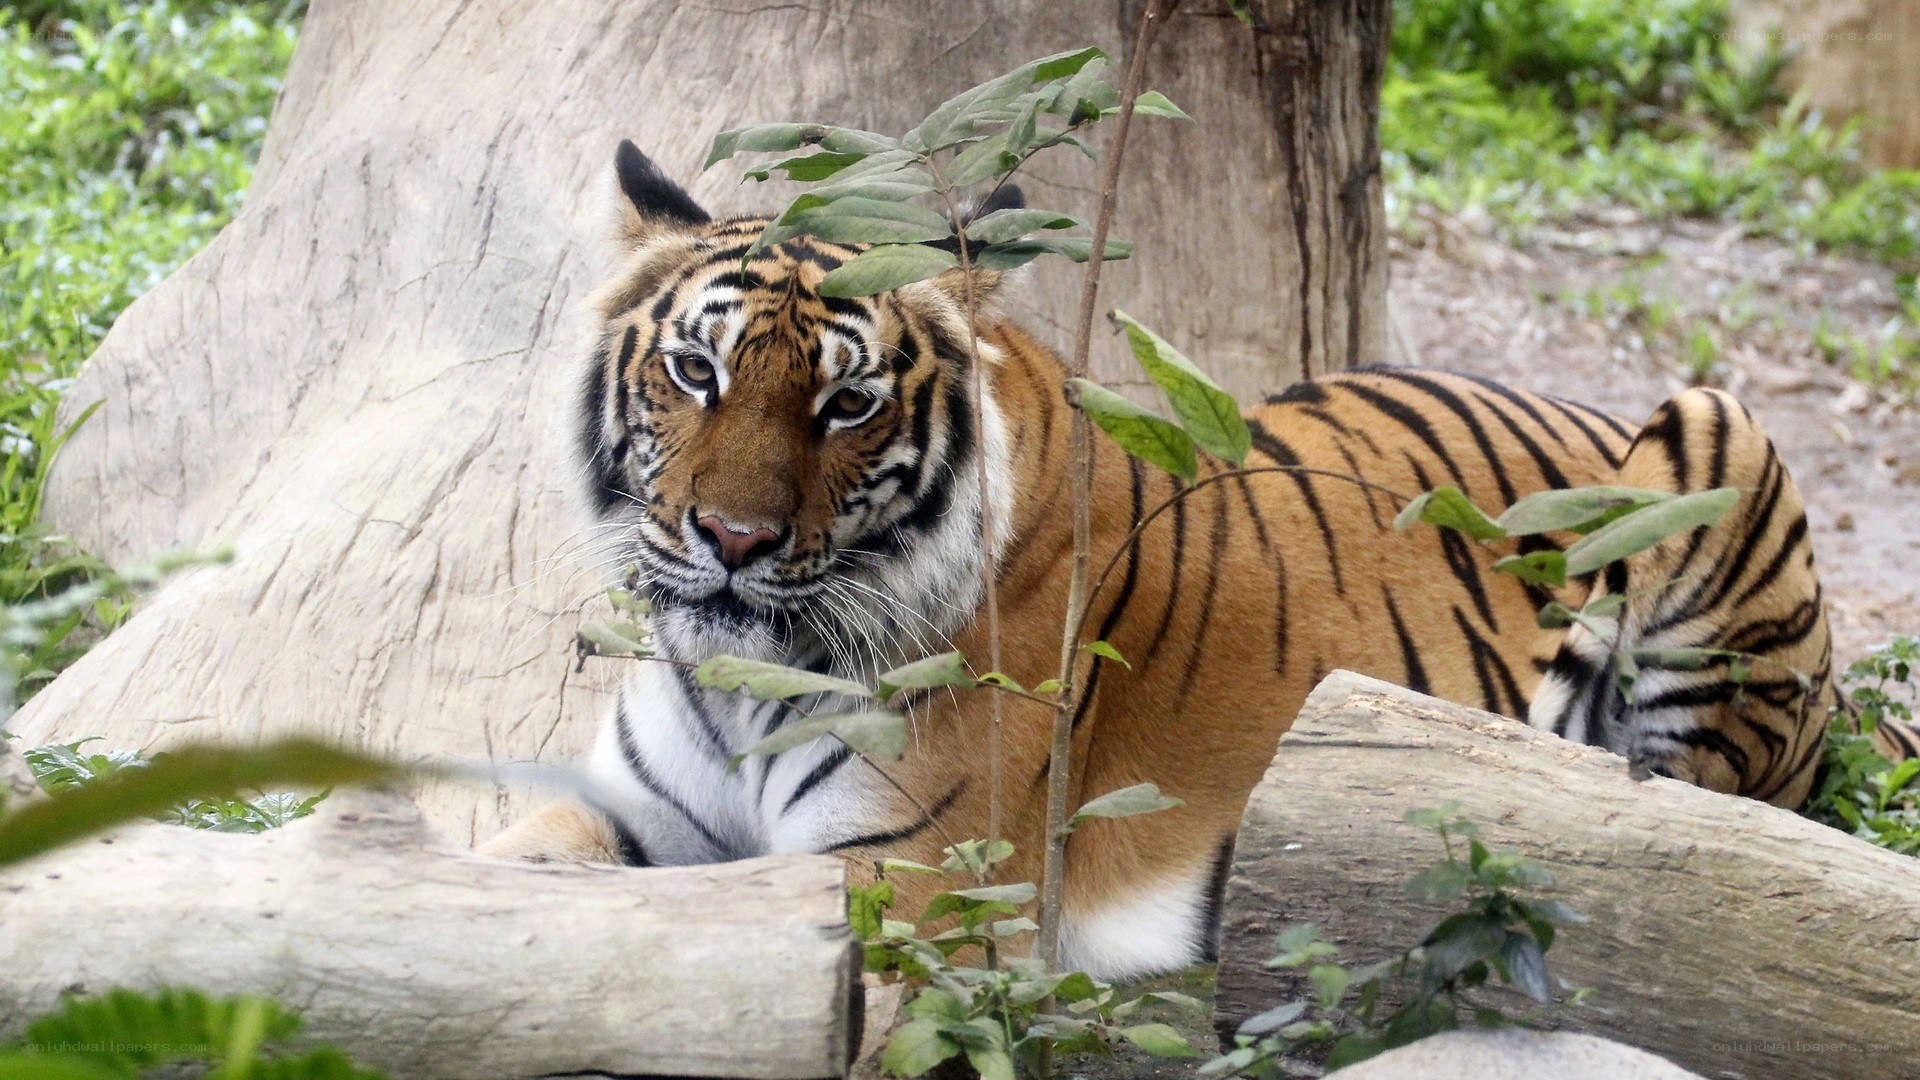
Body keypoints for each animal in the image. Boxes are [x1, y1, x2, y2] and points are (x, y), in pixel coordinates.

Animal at [485, 140, 1914, 980]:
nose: (731, 544)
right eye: (696, 372)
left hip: (1717, 433)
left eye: (847, 405)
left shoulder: (911, 880)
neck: (741, 682)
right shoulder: (623, 810)